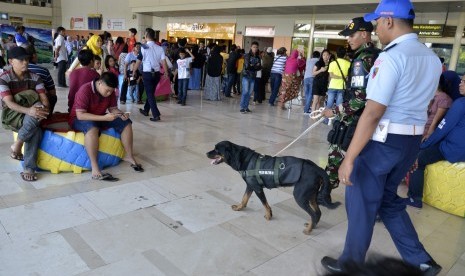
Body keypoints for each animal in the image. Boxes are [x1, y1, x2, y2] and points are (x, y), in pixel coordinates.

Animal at [205, 141, 338, 234]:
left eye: (216, 150)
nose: (206, 153)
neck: (243, 159)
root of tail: (317, 168)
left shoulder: (257, 188)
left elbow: (265, 204)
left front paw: (269, 215)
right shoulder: (250, 186)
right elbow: (244, 198)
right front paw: (239, 208)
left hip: (300, 196)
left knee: (313, 214)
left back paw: (309, 230)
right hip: (311, 195)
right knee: (318, 212)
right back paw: (313, 225)